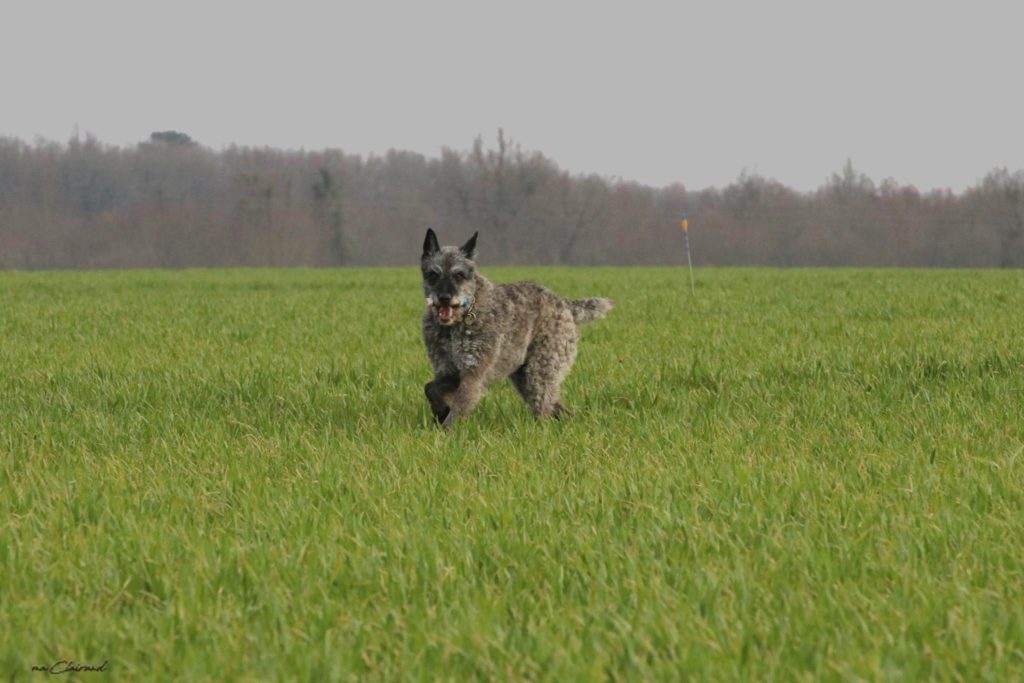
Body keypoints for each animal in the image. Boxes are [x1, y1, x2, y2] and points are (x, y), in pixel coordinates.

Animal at [419, 229, 610, 428]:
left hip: (539, 374)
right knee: (558, 408)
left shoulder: (473, 375)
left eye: (458, 275)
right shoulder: (451, 372)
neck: (459, 321)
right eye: (433, 275)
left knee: (544, 409)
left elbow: (458, 408)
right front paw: (440, 411)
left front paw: (446, 429)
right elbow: (430, 388)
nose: (444, 297)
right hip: (524, 376)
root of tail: (565, 305)